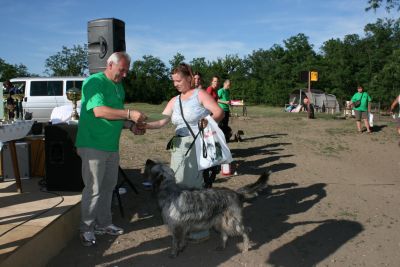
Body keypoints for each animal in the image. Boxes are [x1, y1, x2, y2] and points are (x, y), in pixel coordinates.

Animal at [144, 160, 272, 258]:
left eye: (153, 166)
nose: (148, 160)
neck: (169, 189)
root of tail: (236, 193)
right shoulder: (182, 227)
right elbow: (182, 240)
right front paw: (182, 248)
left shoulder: (176, 227)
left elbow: (175, 242)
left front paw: (174, 253)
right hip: (220, 222)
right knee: (225, 235)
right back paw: (221, 246)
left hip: (232, 222)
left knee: (245, 231)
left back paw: (246, 248)